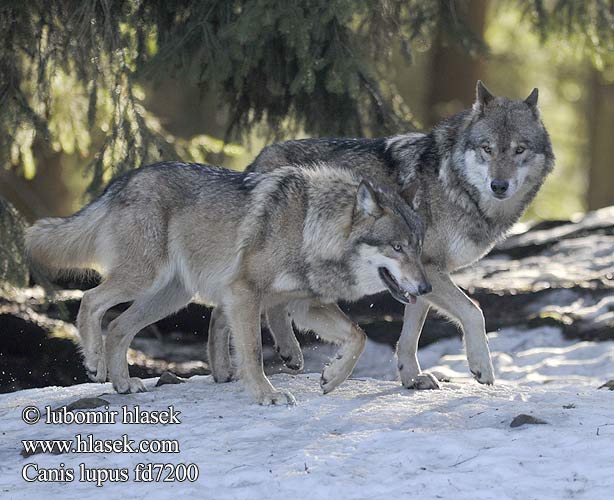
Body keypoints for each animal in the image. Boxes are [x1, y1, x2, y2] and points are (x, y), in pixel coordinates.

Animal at [26, 162, 430, 404]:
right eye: (397, 247)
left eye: (418, 246)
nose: (426, 288)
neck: (309, 228)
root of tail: (123, 180)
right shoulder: (244, 294)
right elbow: (252, 352)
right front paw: (267, 394)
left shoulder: (301, 305)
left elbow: (357, 336)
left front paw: (331, 377)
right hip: (142, 280)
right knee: (90, 301)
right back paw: (95, 365)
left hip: (169, 297)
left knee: (118, 327)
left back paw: (124, 384)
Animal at [209, 80, 556, 388]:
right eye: (487, 149)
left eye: (519, 150)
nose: (499, 185)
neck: (456, 186)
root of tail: (257, 161)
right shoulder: (428, 268)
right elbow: (474, 312)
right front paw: (482, 367)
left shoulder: (417, 277)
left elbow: (409, 336)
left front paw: (412, 379)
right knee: (229, 311)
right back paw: (233, 368)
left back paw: (273, 357)